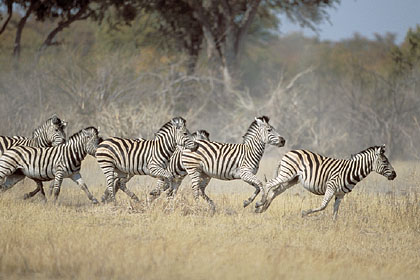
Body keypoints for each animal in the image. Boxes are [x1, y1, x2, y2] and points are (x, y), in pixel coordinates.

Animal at [256, 144, 398, 219]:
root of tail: (289, 152)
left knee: (275, 191)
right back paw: (260, 203)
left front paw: (334, 226)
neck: (352, 172)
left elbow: (335, 211)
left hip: (291, 179)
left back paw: (262, 209)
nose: (395, 175)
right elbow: (323, 206)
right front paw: (305, 212)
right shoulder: (331, 187)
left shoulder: (340, 194)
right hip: (287, 174)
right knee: (269, 184)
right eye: (385, 161)